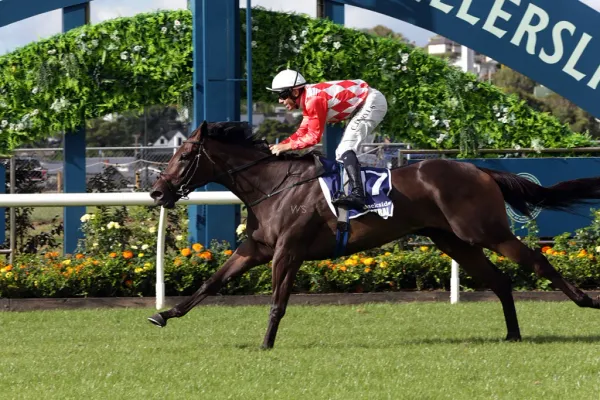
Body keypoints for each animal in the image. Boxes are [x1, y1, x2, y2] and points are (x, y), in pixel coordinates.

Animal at [149, 120, 600, 348]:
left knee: (536, 261)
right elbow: (210, 284)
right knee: (501, 281)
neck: (274, 186)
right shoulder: (255, 248)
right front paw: (163, 314)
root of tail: (479, 169)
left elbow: (277, 303)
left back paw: (587, 301)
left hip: (484, 231)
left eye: (184, 156)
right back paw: (512, 334)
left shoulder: (287, 252)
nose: (157, 192)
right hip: (453, 240)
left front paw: (265, 344)